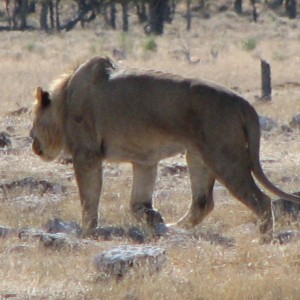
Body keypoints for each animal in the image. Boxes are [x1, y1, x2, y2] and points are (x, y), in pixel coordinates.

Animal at [30, 55, 300, 239]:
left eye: (33, 121)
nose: (32, 142)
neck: (65, 99)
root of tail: (244, 103)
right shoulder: (145, 159)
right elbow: (138, 202)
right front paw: (153, 218)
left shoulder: (86, 154)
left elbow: (89, 198)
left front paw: (87, 231)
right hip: (198, 156)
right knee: (203, 202)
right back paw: (175, 228)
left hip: (224, 156)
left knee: (261, 200)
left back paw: (263, 238)